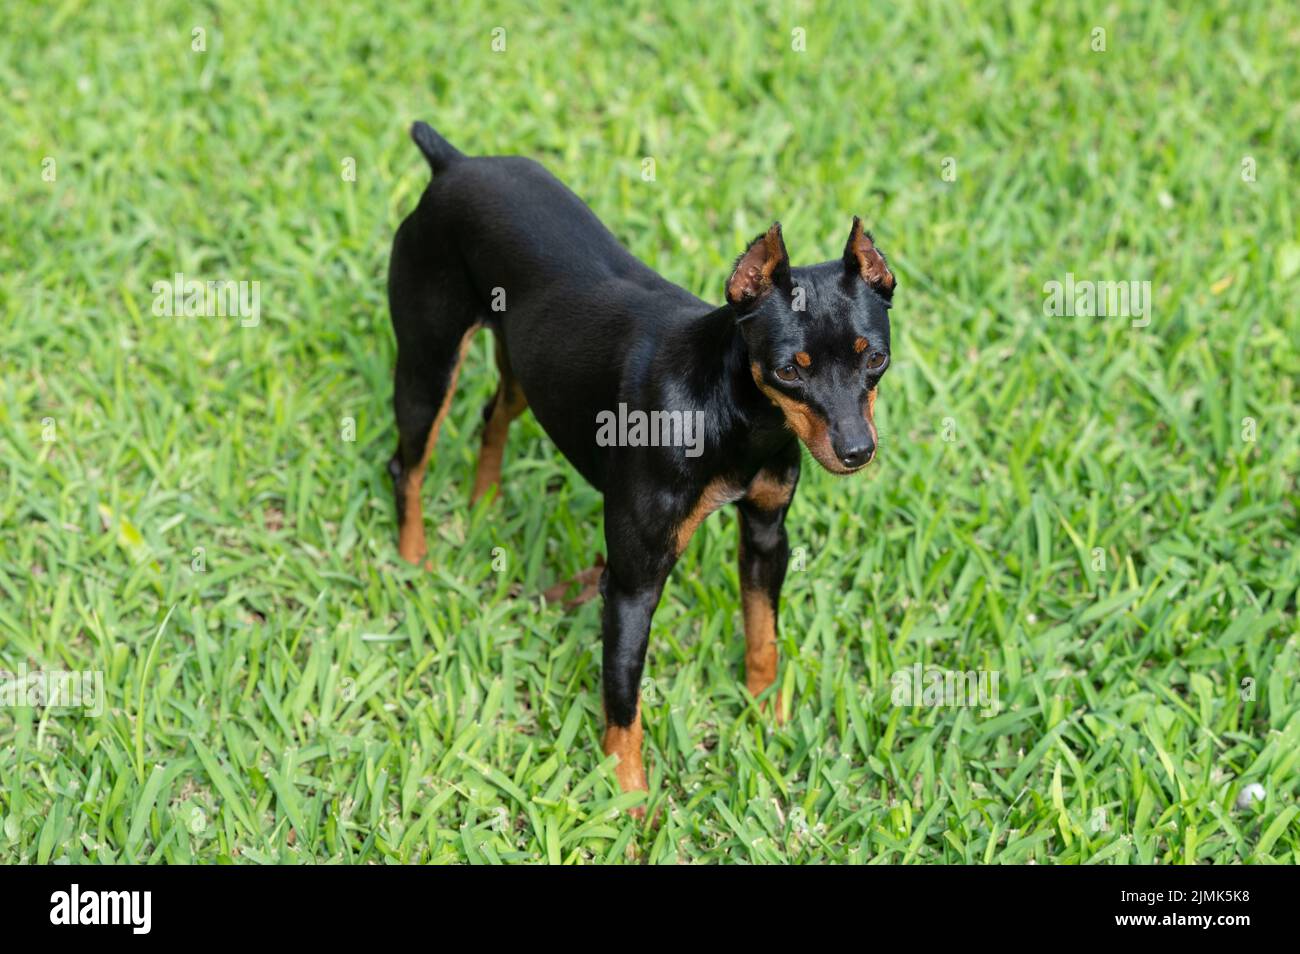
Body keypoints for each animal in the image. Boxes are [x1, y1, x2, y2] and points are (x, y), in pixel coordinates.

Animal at [384, 123, 894, 811]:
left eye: (876, 359)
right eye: (791, 370)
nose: (856, 451)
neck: (730, 413)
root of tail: (454, 164)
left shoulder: (767, 536)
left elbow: (763, 637)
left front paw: (768, 720)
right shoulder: (631, 586)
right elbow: (623, 705)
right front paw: (631, 803)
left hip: (524, 368)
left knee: (494, 413)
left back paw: (482, 503)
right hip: (428, 365)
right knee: (405, 464)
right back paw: (415, 560)